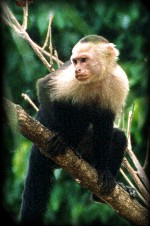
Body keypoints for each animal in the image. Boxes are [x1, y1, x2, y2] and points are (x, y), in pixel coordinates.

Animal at [19, 34, 136, 225]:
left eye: (84, 60)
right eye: (75, 61)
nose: (78, 69)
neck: (97, 79)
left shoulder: (119, 82)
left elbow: (105, 123)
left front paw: (103, 171)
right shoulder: (69, 77)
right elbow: (44, 87)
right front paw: (60, 138)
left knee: (118, 138)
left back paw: (103, 194)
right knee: (72, 109)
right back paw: (63, 146)